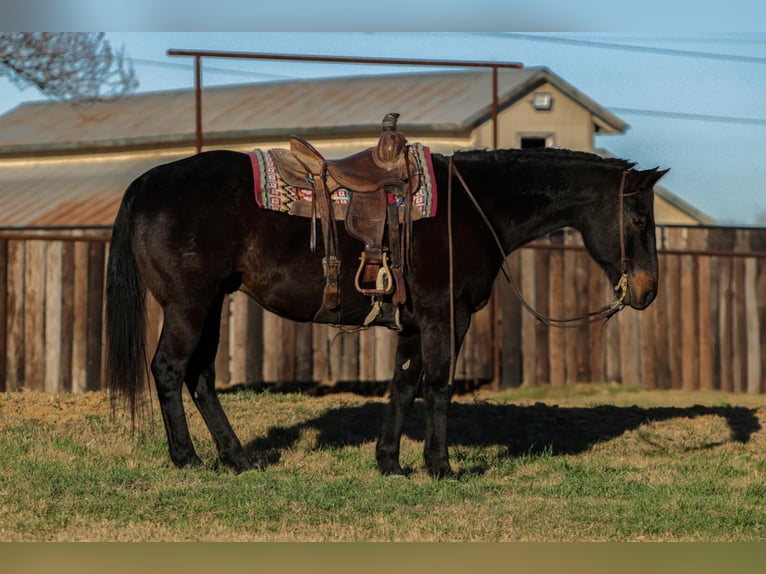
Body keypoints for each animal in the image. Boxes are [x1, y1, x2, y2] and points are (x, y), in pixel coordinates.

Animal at [105, 145, 667, 477]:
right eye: (640, 219)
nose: (647, 290)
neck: (472, 206)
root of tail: (145, 184)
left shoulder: (414, 323)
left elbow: (403, 384)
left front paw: (390, 462)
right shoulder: (448, 315)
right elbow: (438, 385)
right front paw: (440, 466)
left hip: (212, 304)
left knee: (199, 376)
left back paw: (238, 457)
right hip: (189, 305)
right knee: (169, 369)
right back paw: (187, 458)